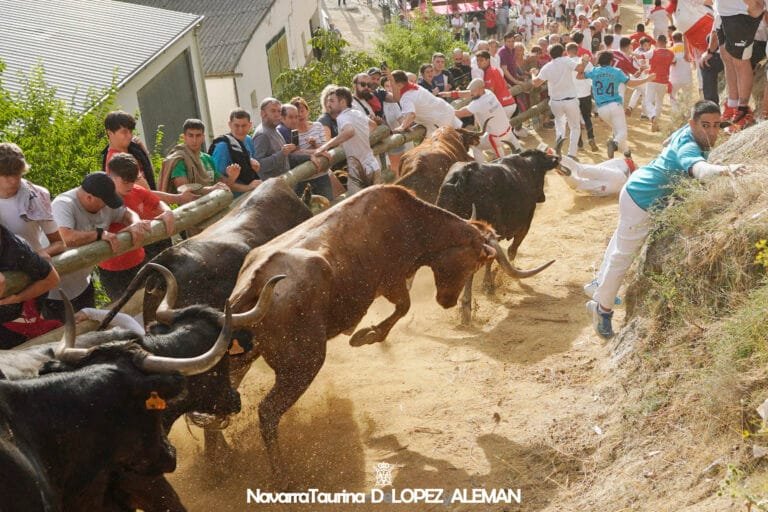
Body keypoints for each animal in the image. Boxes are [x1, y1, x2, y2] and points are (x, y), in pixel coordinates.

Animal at [436, 149, 560, 323]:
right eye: (543, 171)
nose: (542, 197)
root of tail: (461, 178)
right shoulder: (525, 224)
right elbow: (511, 251)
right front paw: (490, 283)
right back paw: (467, 307)